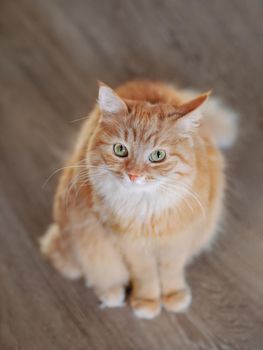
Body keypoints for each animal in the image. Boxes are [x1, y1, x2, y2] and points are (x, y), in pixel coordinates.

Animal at [40, 80, 238, 320]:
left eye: (158, 156)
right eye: (120, 150)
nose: (133, 175)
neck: (146, 210)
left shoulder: (177, 241)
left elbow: (171, 271)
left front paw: (173, 296)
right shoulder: (131, 247)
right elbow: (146, 276)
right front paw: (147, 302)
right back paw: (111, 293)